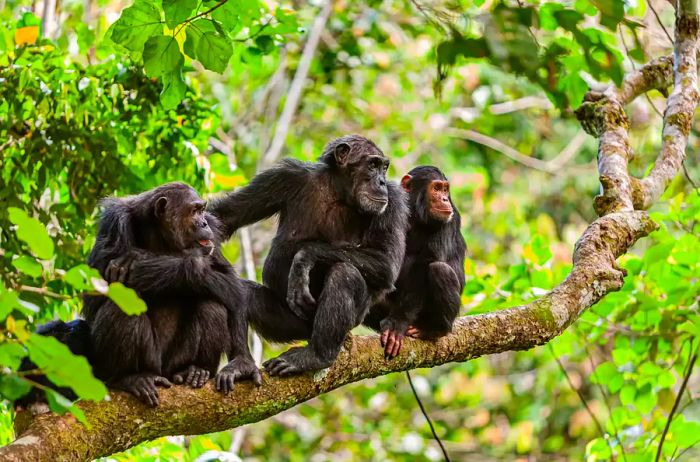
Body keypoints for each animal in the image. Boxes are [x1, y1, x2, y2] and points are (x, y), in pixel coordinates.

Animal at [82, 182, 258, 406]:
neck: (159, 234)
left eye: (202, 210)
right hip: (148, 363)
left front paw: (242, 363)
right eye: (194, 210)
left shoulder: (213, 236)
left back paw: (195, 370)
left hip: (176, 362)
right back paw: (128, 378)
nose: (203, 223)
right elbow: (94, 298)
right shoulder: (114, 223)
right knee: (120, 309)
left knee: (212, 304)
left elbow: (231, 285)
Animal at [208, 135, 408, 378]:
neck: (338, 191)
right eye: (372, 165)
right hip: (292, 324)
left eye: (384, 167)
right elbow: (224, 217)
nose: (381, 182)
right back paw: (241, 364)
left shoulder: (394, 201)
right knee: (241, 294)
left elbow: (386, 262)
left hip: (352, 319)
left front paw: (303, 259)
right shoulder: (282, 177)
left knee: (344, 273)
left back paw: (316, 356)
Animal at [364, 164, 468, 360]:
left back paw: (435, 330)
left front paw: (397, 324)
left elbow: (426, 263)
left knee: (440, 270)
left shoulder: (450, 221)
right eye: (436, 188)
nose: (444, 198)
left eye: (445, 189)